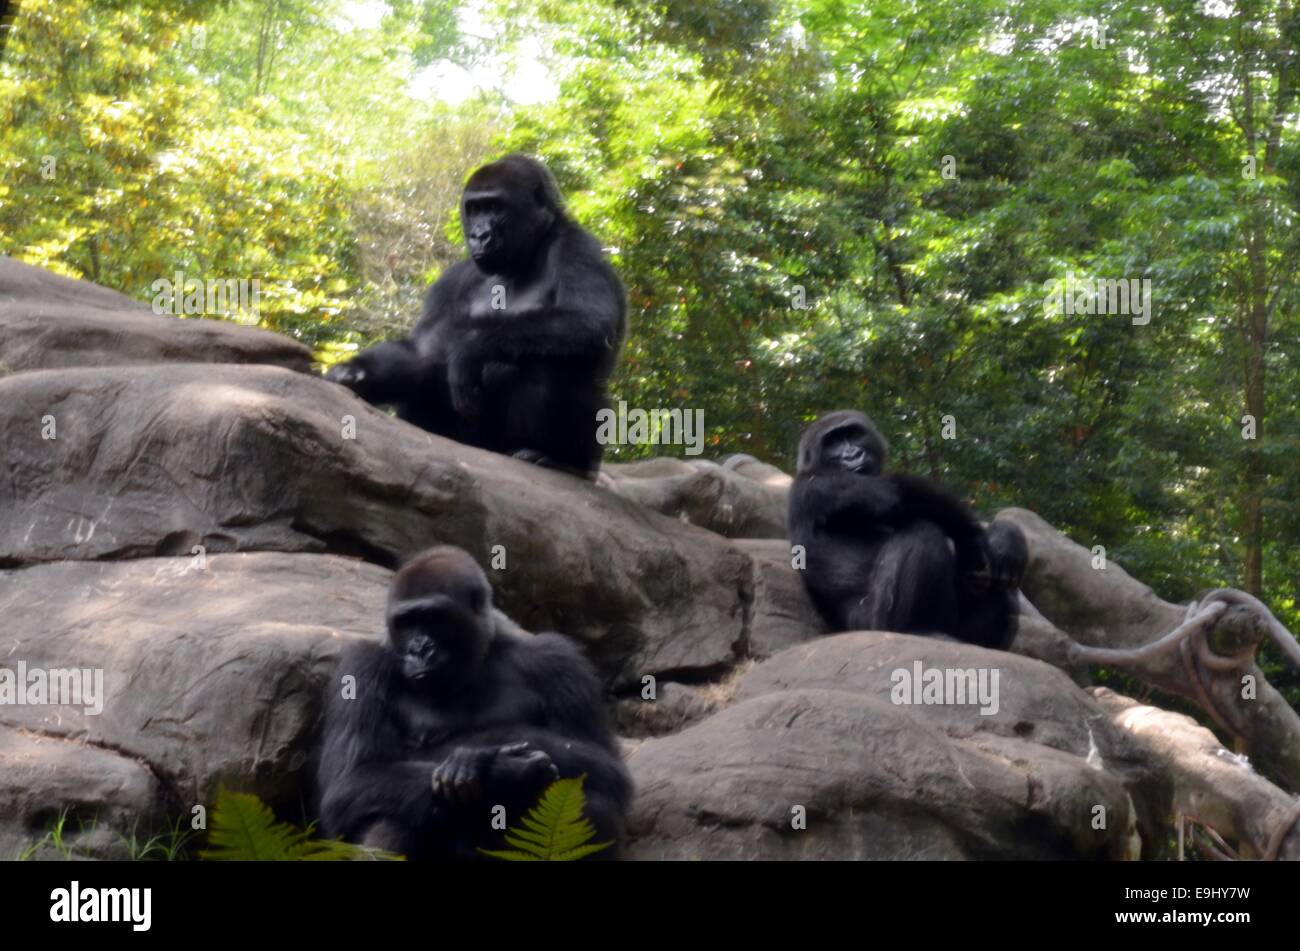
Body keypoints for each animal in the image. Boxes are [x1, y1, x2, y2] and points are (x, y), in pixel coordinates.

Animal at [319, 543, 634, 862]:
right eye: (406, 622)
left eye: (433, 618)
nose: (418, 650)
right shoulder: (363, 667)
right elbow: (352, 780)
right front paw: (501, 772)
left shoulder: (558, 661)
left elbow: (605, 764)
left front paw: (480, 754)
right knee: (390, 816)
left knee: (592, 800)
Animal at [327, 157, 626, 483]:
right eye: (474, 209)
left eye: (494, 207)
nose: (479, 235)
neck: (529, 251)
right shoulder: (454, 278)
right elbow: (423, 350)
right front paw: (355, 373)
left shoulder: (578, 247)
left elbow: (590, 321)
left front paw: (469, 348)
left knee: (549, 358)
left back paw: (556, 458)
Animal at [785, 413, 1029, 649]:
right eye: (832, 443)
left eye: (854, 434)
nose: (853, 454)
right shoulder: (817, 484)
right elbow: (893, 495)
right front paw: (971, 535)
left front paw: (1005, 538)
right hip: (871, 626)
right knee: (922, 532)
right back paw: (916, 629)